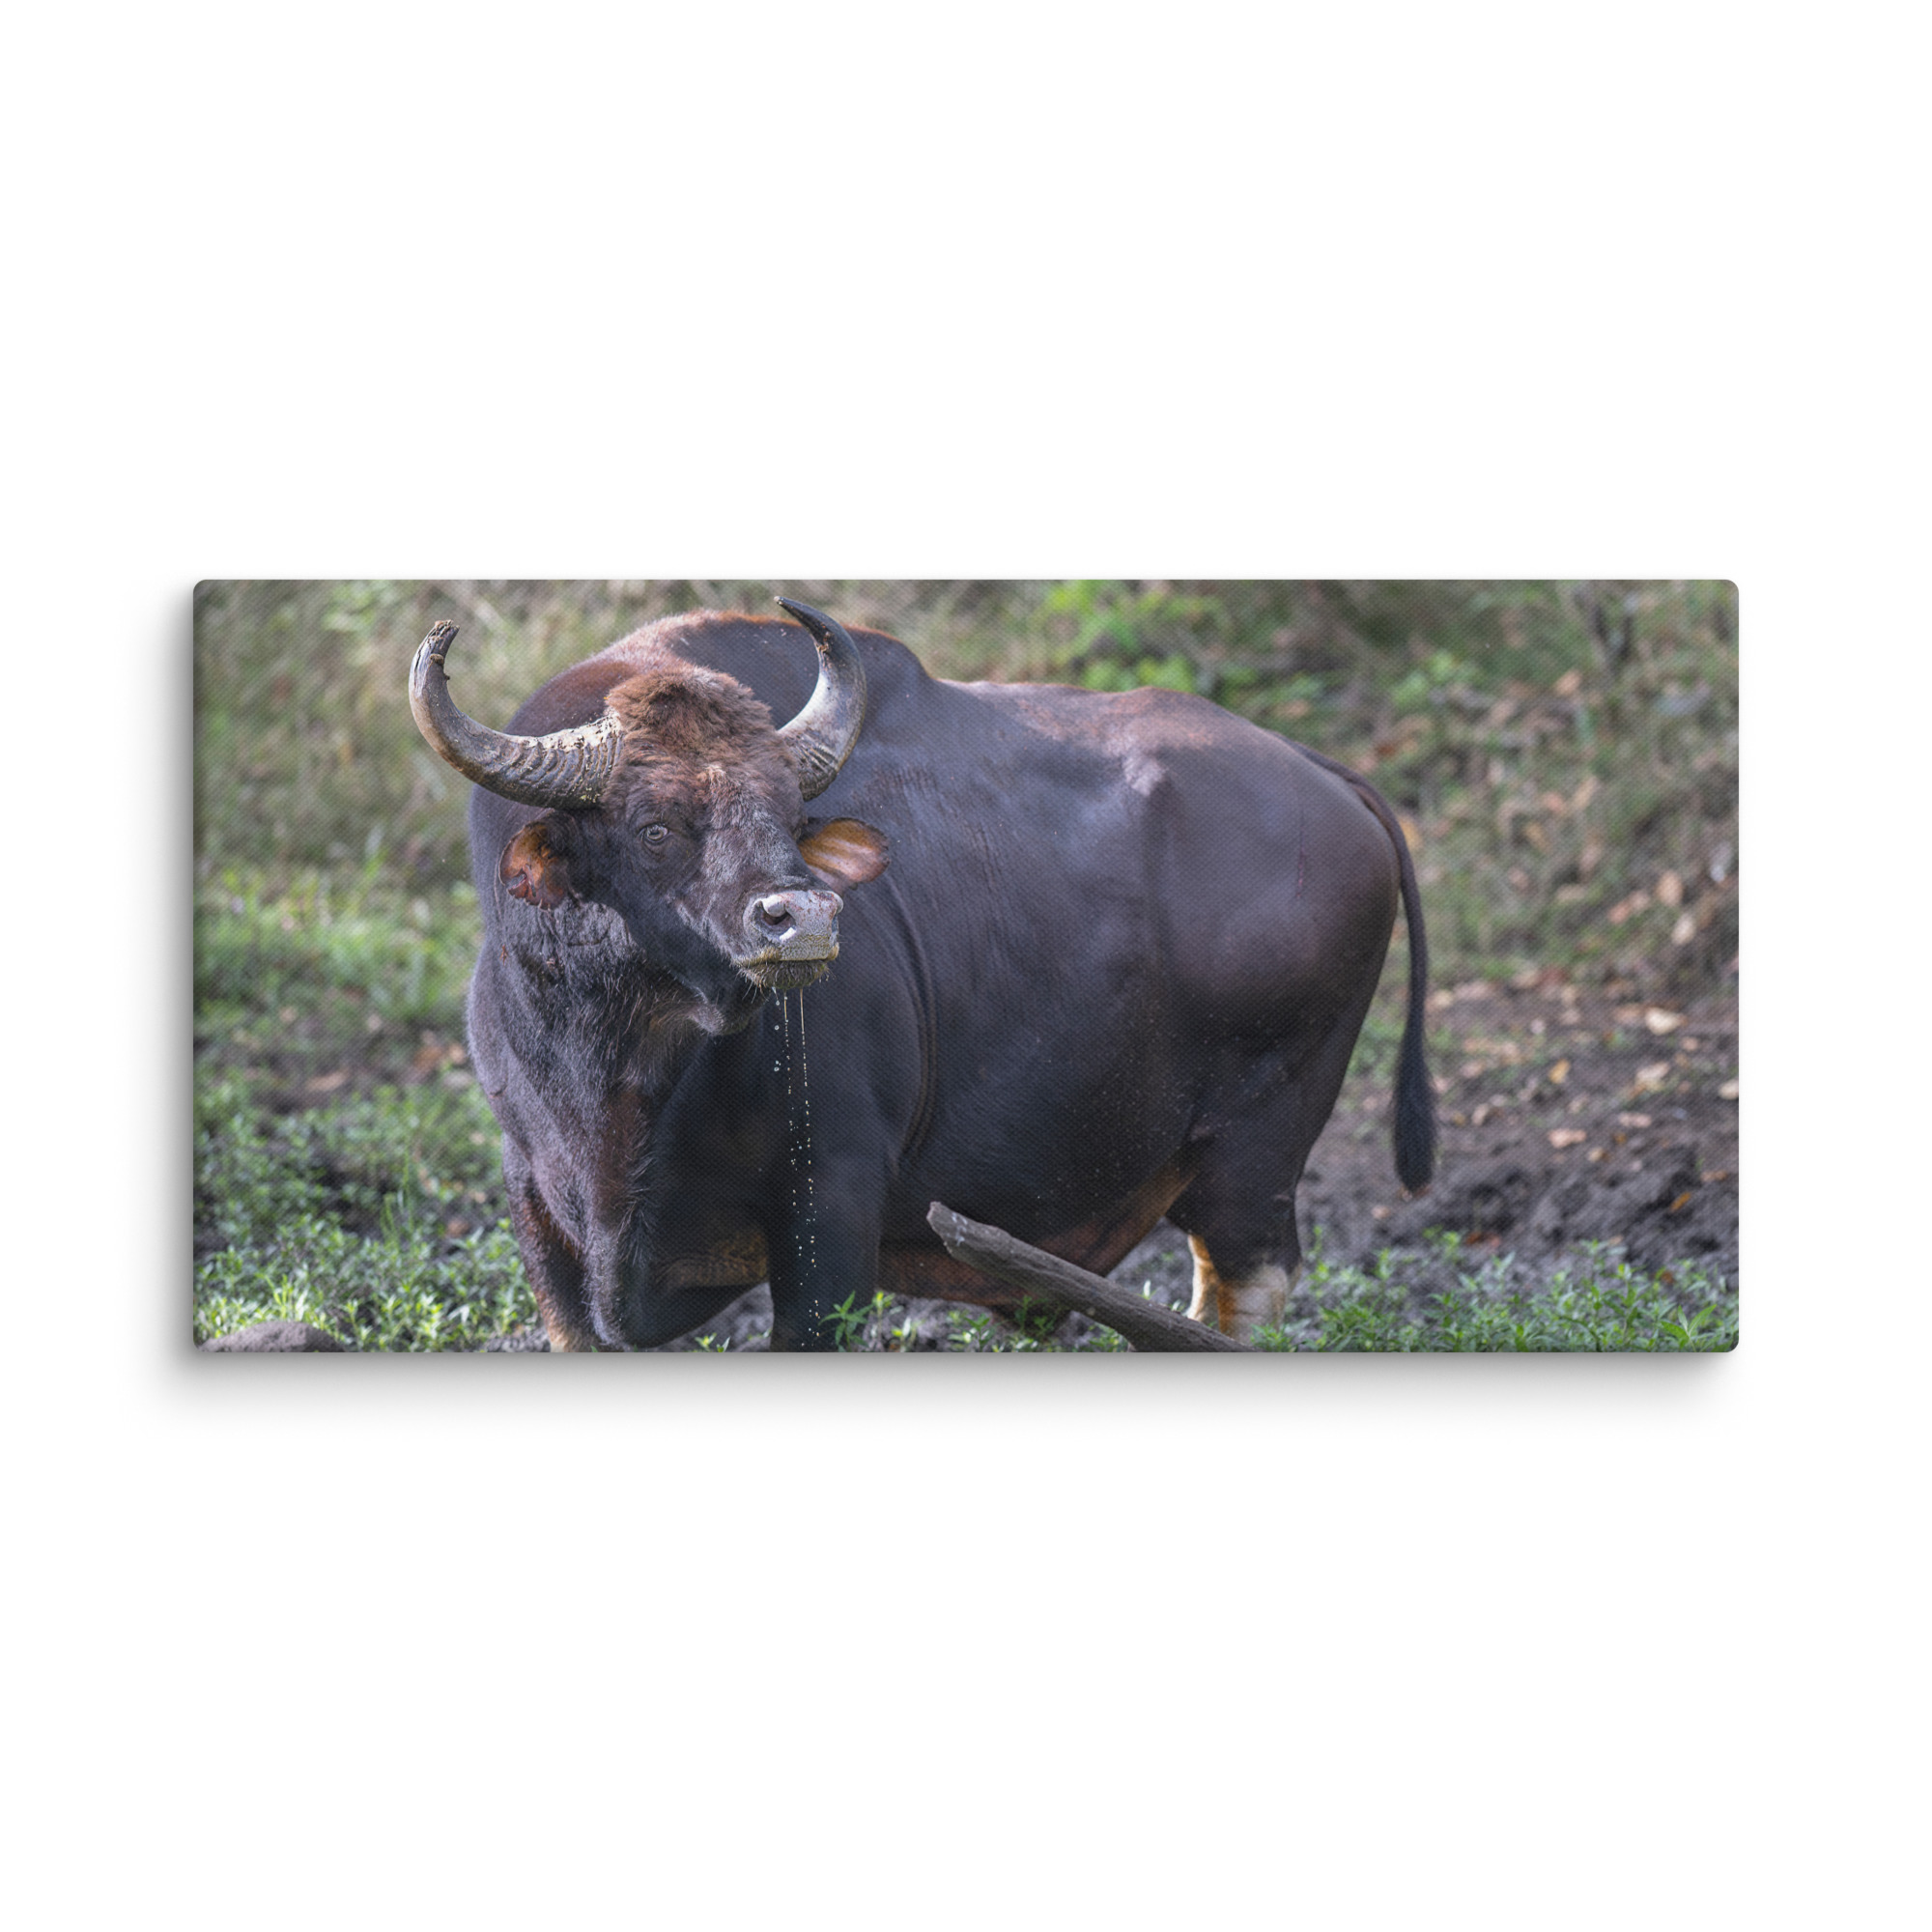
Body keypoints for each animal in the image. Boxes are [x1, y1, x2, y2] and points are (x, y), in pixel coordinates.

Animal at [408, 598, 1435, 1349]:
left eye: (790, 816)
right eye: (655, 825)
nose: (802, 919)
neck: (622, 1081)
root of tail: (1325, 775)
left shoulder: (831, 1209)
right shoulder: (539, 1215)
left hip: (1259, 1151)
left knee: (1245, 1284)